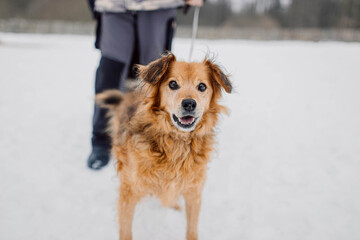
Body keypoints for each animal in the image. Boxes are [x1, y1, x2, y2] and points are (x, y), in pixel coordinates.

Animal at [95, 53, 231, 240]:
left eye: (202, 86)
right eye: (173, 84)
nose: (189, 104)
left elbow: (192, 230)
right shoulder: (129, 192)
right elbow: (126, 230)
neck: (176, 144)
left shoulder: (194, 191)